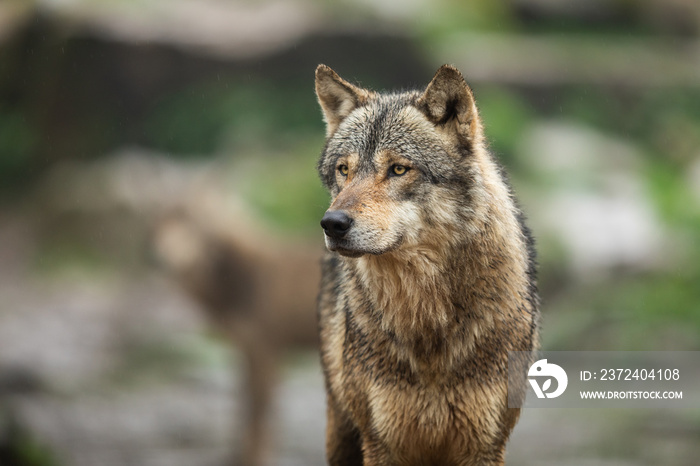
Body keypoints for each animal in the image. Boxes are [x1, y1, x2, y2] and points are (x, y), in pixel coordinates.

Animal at [152, 197, 322, 466]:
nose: (159, 257)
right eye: (158, 224)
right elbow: (242, 408)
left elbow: (257, 414)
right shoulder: (246, 350)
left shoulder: (265, 349)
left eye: (190, 223)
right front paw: (234, 457)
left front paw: (254, 459)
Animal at [314, 64, 540, 466]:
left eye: (398, 169)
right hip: (340, 433)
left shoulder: (484, 445)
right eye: (344, 170)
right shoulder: (382, 444)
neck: (427, 320)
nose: (333, 224)